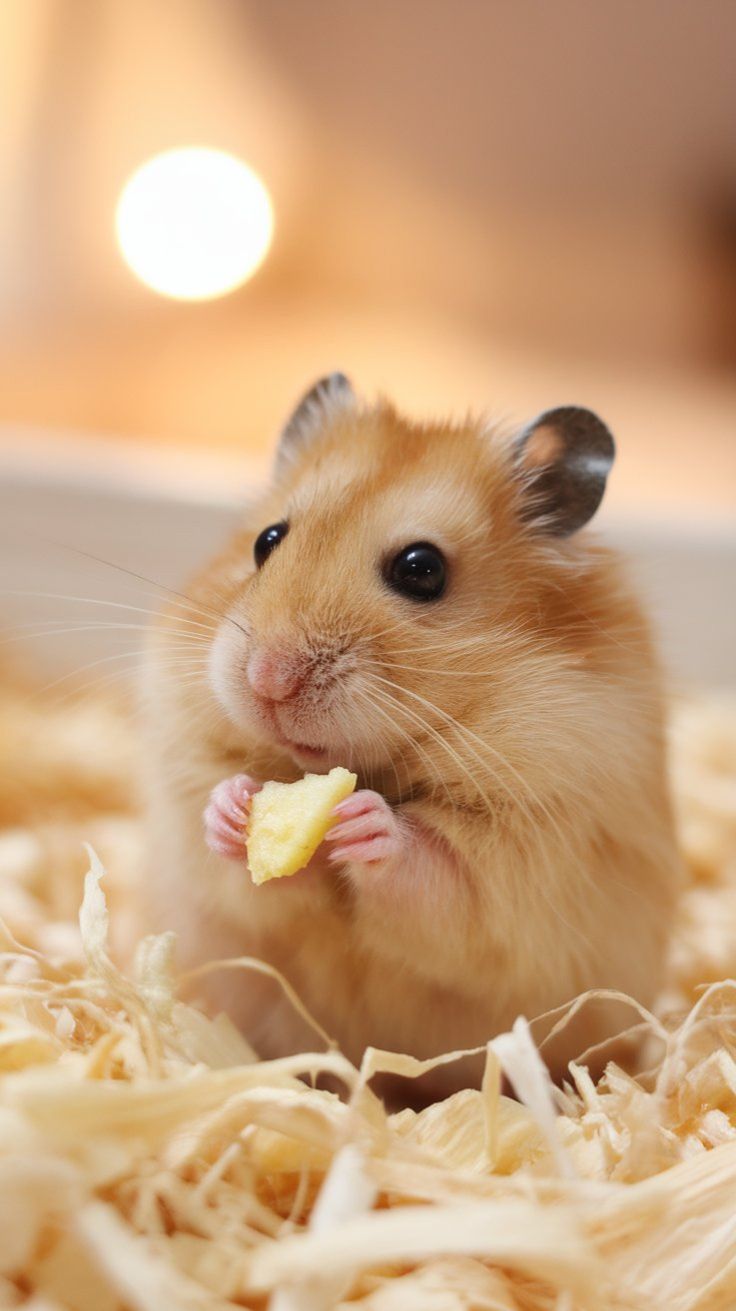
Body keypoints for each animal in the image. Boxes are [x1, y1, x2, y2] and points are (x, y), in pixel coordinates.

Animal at [143, 374, 681, 1096]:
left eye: (421, 569)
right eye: (267, 541)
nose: (268, 679)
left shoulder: (527, 845)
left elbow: (440, 869)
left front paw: (366, 823)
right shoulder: (190, 783)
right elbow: (237, 863)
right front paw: (233, 808)